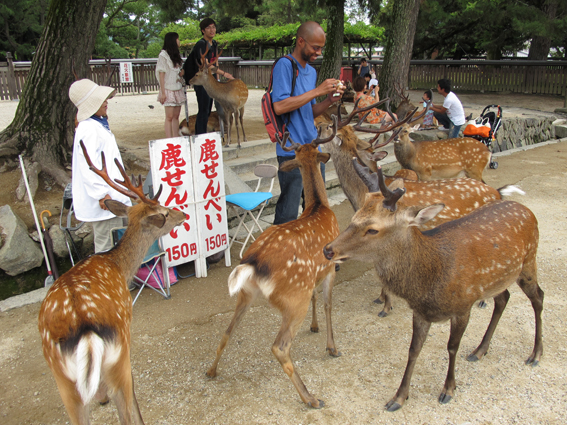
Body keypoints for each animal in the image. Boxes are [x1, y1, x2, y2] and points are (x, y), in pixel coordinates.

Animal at [37, 143, 186, 424]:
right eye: (163, 211)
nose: (182, 213)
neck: (117, 266)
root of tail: (85, 331)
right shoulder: (128, 328)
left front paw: (101, 397)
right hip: (118, 356)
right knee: (127, 406)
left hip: (63, 380)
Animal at [209, 116, 342, 408]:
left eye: (301, 154)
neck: (319, 206)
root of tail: (252, 262)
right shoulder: (330, 267)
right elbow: (328, 304)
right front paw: (332, 347)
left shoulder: (314, 276)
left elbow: (317, 298)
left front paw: (314, 327)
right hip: (293, 298)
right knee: (279, 347)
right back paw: (310, 397)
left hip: (245, 294)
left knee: (226, 331)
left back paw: (211, 370)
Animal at [322, 166, 544, 410]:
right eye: (354, 217)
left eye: (372, 229)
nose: (328, 250)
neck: (430, 279)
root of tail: (526, 209)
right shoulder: (421, 312)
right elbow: (413, 349)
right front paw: (398, 397)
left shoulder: (463, 306)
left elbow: (452, 347)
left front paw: (448, 389)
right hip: (498, 278)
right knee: (503, 298)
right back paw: (479, 350)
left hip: (528, 263)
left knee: (538, 298)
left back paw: (535, 354)